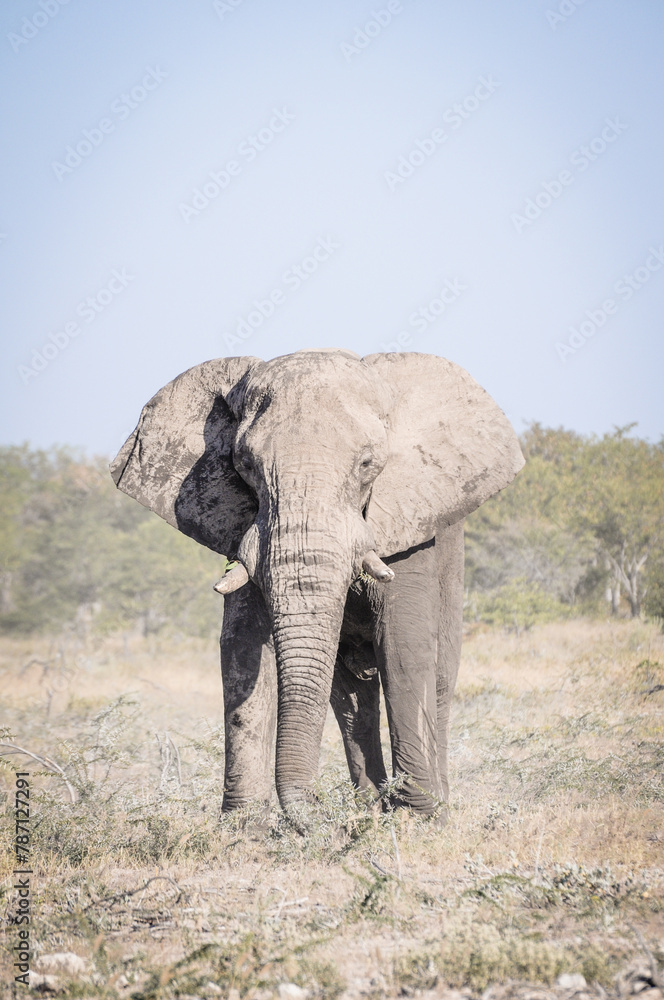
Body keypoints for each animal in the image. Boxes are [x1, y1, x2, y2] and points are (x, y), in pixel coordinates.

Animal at [110, 349, 523, 821]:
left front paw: (419, 818)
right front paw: (243, 828)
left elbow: (403, 643)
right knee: (350, 701)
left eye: (367, 464)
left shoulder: (412, 526)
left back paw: (423, 805)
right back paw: (369, 809)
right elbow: (242, 648)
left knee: (436, 681)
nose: (317, 805)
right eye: (245, 466)